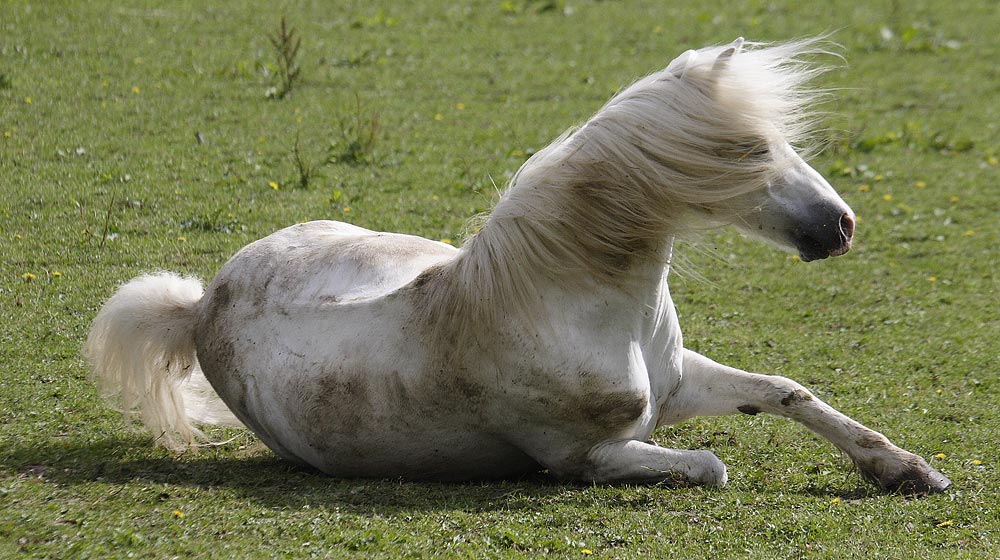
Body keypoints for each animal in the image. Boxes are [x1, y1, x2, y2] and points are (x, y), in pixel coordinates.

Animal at [84, 38, 944, 494]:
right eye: (752, 150)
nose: (842, 226)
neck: (568, 301)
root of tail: (200, 304)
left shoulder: (676, 386)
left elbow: (788, 392)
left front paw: (907, 471)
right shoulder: (586, 459)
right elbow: (710, 466)